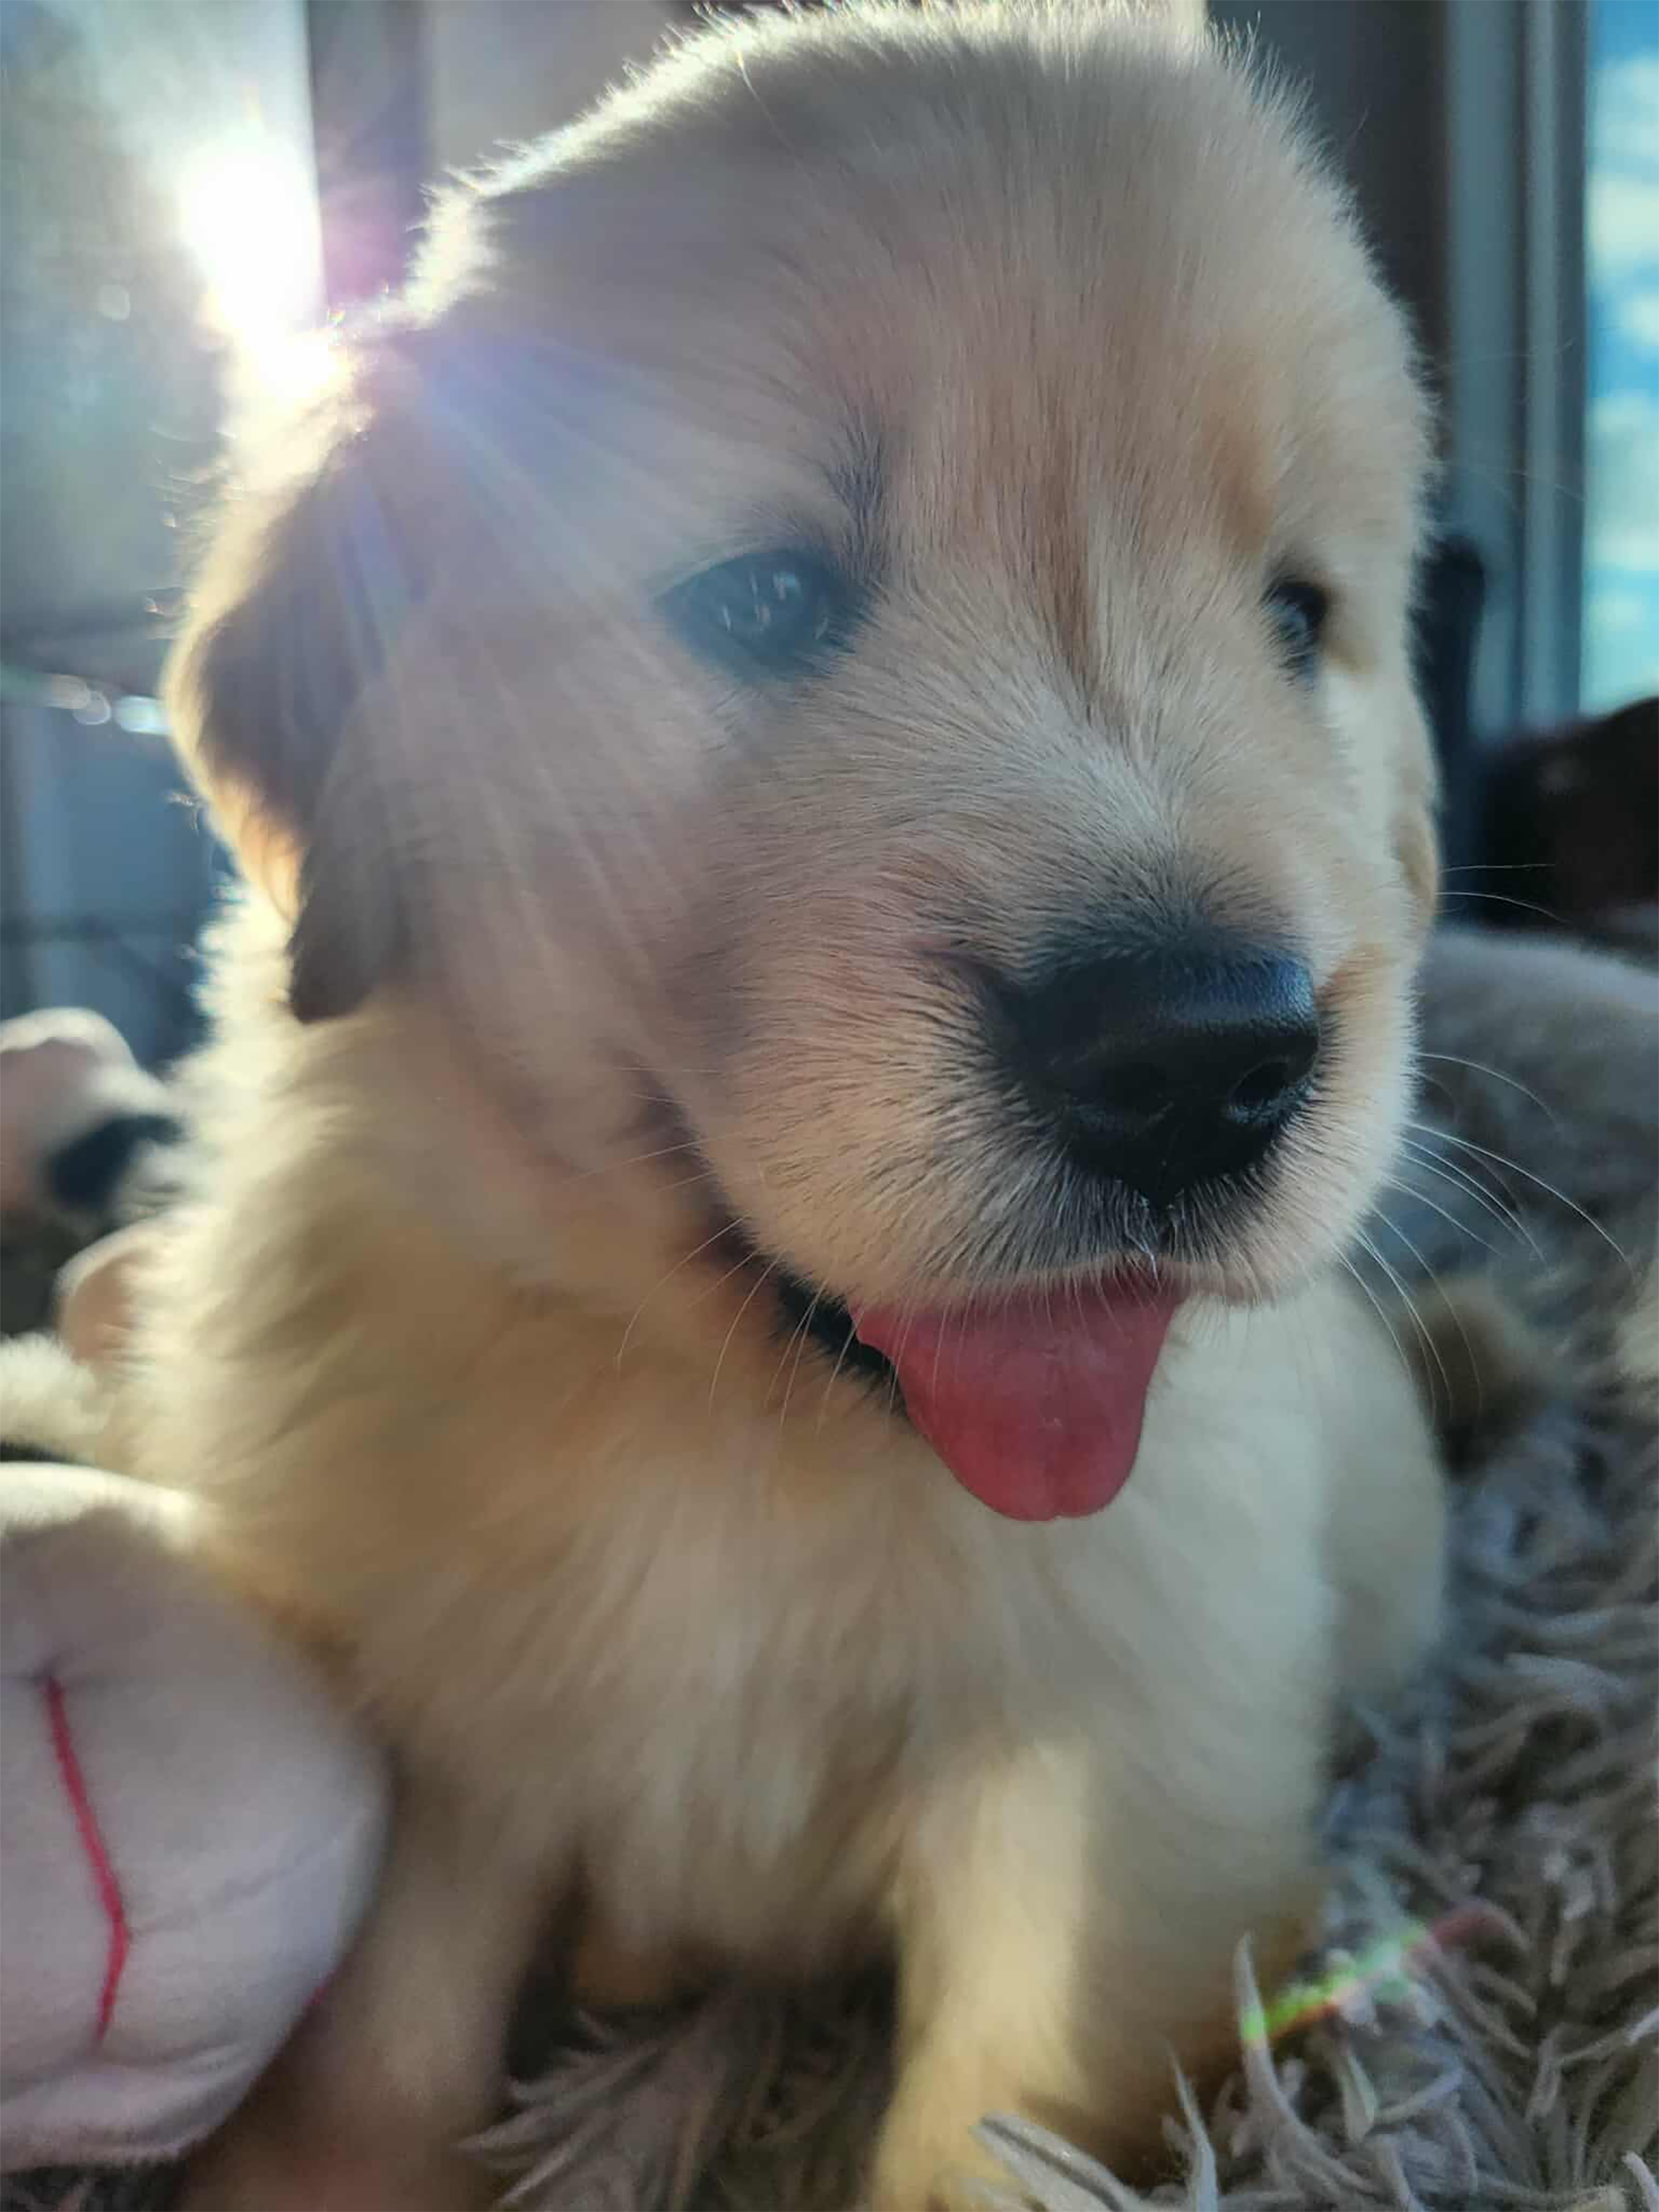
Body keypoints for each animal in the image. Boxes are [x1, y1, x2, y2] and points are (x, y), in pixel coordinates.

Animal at [111, 5, 1447, 2204]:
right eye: (756, 601)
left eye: (1292, 617)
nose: (1198, 1062)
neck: (756, 1439)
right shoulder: (446, 1707)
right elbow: (384, 2022)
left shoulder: (1110, 1764)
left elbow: (1003, 2097)